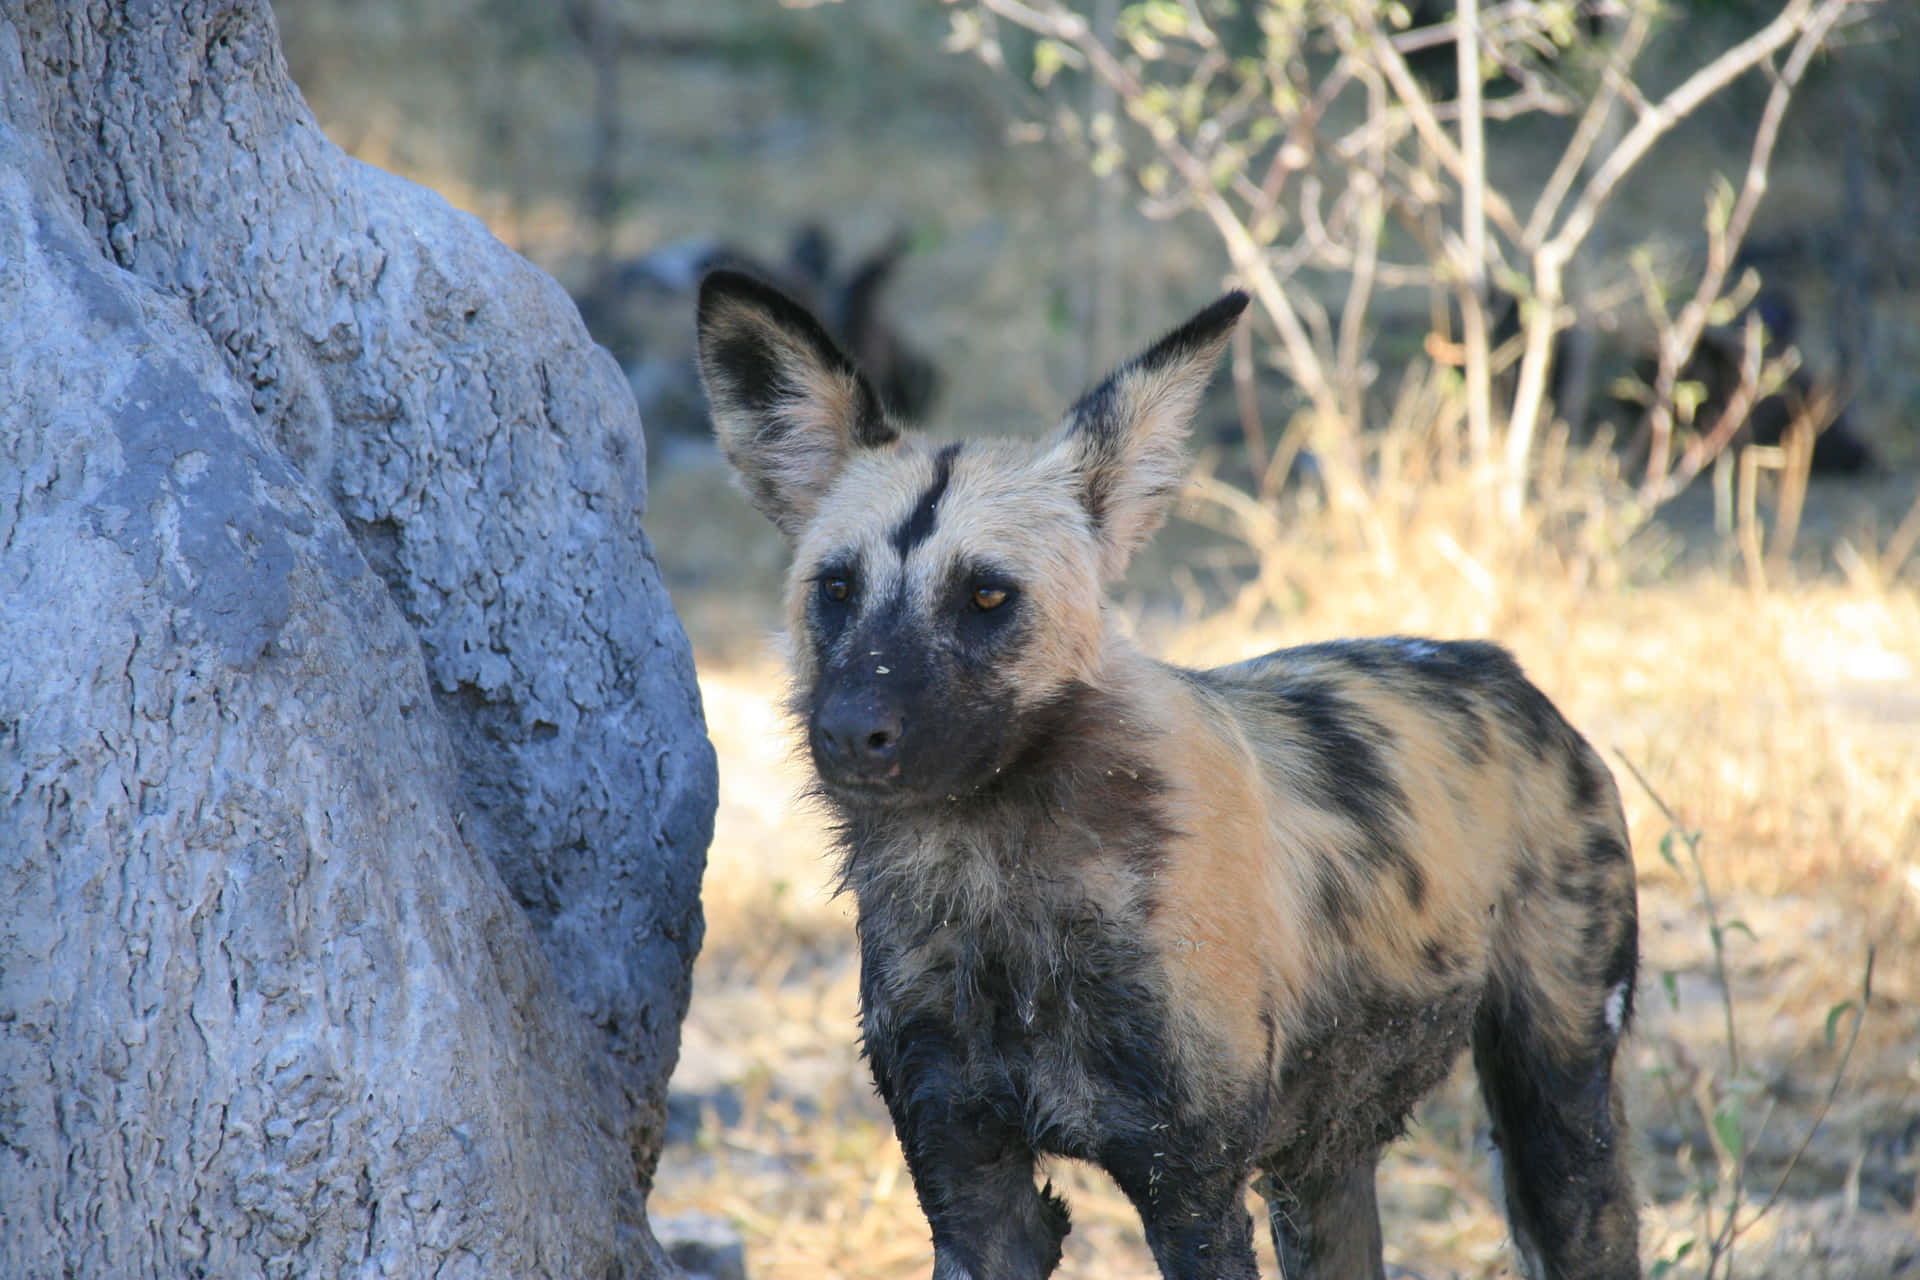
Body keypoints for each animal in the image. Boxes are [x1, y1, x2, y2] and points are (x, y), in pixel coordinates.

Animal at [698, 272, 1643, 1280]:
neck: (995, 883)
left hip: (1559, 1122)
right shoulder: (969, 1187)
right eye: (835, 589)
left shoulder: (1189, 1192)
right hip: (1323, 1166)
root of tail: (1499, 665)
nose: (848, 731)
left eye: (987, 596)